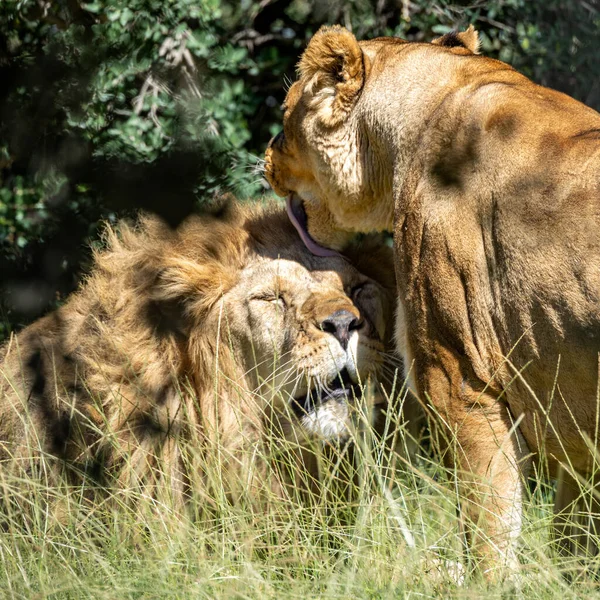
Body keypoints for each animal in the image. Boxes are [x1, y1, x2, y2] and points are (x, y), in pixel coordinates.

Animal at [264, 24, 600, 576]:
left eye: (285, 116)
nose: (266, 158)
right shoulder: (575, 420)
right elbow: (575, 541)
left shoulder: (462, 382)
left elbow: (488, 532)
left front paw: (489, 581)